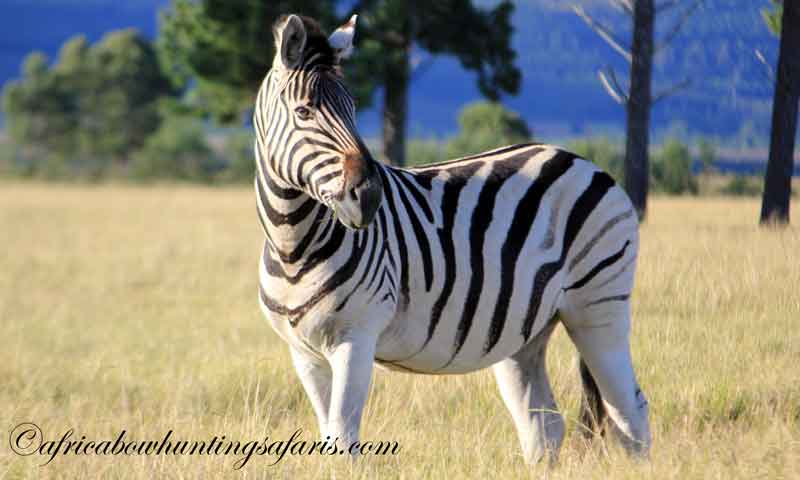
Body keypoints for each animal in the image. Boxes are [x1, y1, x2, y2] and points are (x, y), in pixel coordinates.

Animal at [254, 14, 651, 463]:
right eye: (304, 111)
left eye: (354, 110)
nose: (369, 196)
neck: (293, 245)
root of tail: (582, 161)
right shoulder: (303, 353)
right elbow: (328, 436)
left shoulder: (356, 337)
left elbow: (343, 435)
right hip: (525, 330)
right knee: (543, 425)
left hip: (599, 306)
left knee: (629, 413)